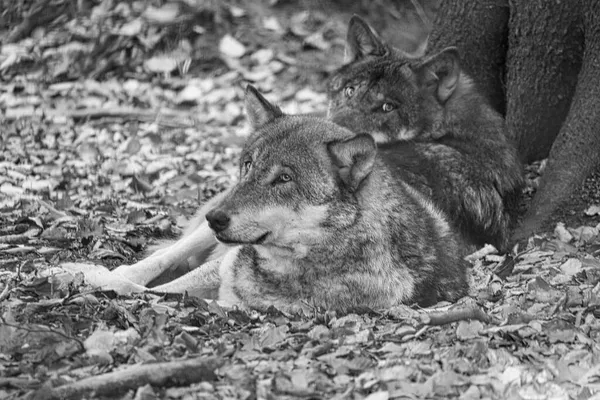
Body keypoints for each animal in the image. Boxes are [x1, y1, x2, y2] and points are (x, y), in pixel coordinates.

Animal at [79, 86, 466, 314]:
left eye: (284, 179)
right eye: (249, 165)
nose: (217, 218)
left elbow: (145, 291)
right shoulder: (224, 264)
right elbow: (133, 280)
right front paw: (83, 274)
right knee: (158, 258)